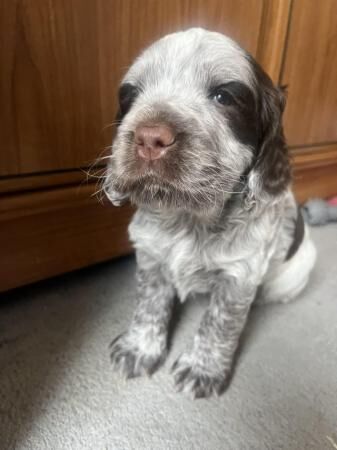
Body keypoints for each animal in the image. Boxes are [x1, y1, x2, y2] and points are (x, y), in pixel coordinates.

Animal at [103, 28, 316, 398]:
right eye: (131, 95)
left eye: (223, 96)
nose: (149, 138)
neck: (188, 219)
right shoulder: (150, 257)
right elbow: (149, 304)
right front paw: (139, 348)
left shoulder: (238, 276)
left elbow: (219, 324)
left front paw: (202, 369)